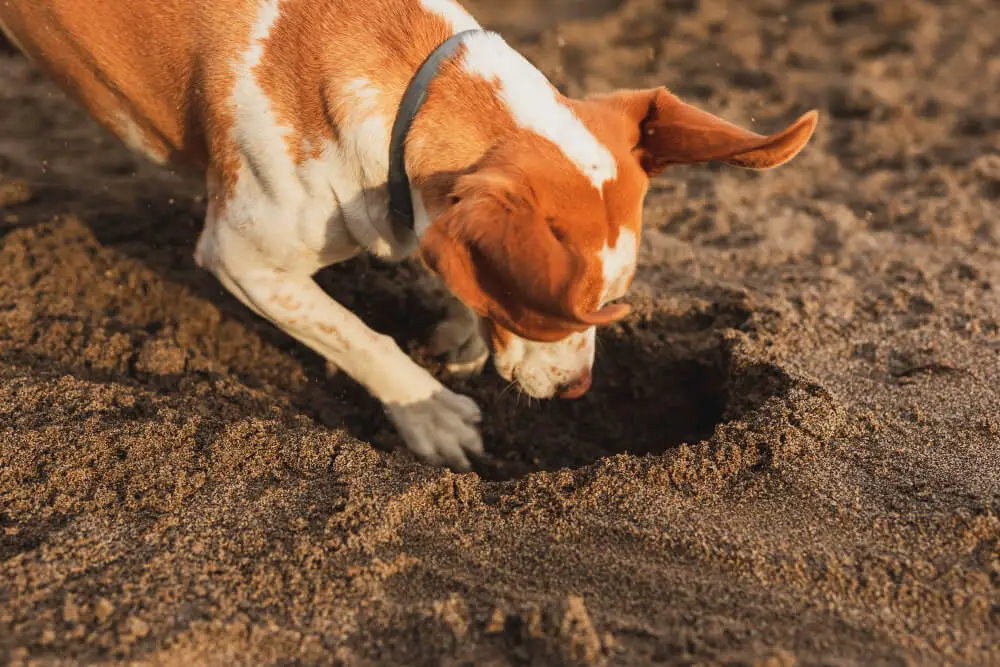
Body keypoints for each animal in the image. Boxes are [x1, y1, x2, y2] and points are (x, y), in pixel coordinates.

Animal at [1, 0, 820, 470]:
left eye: (619, 298)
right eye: (568, 312)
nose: (580, 388)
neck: (409, 79)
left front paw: (459, 329)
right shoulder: (242, 258)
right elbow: (357, 335)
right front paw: (429, 412)